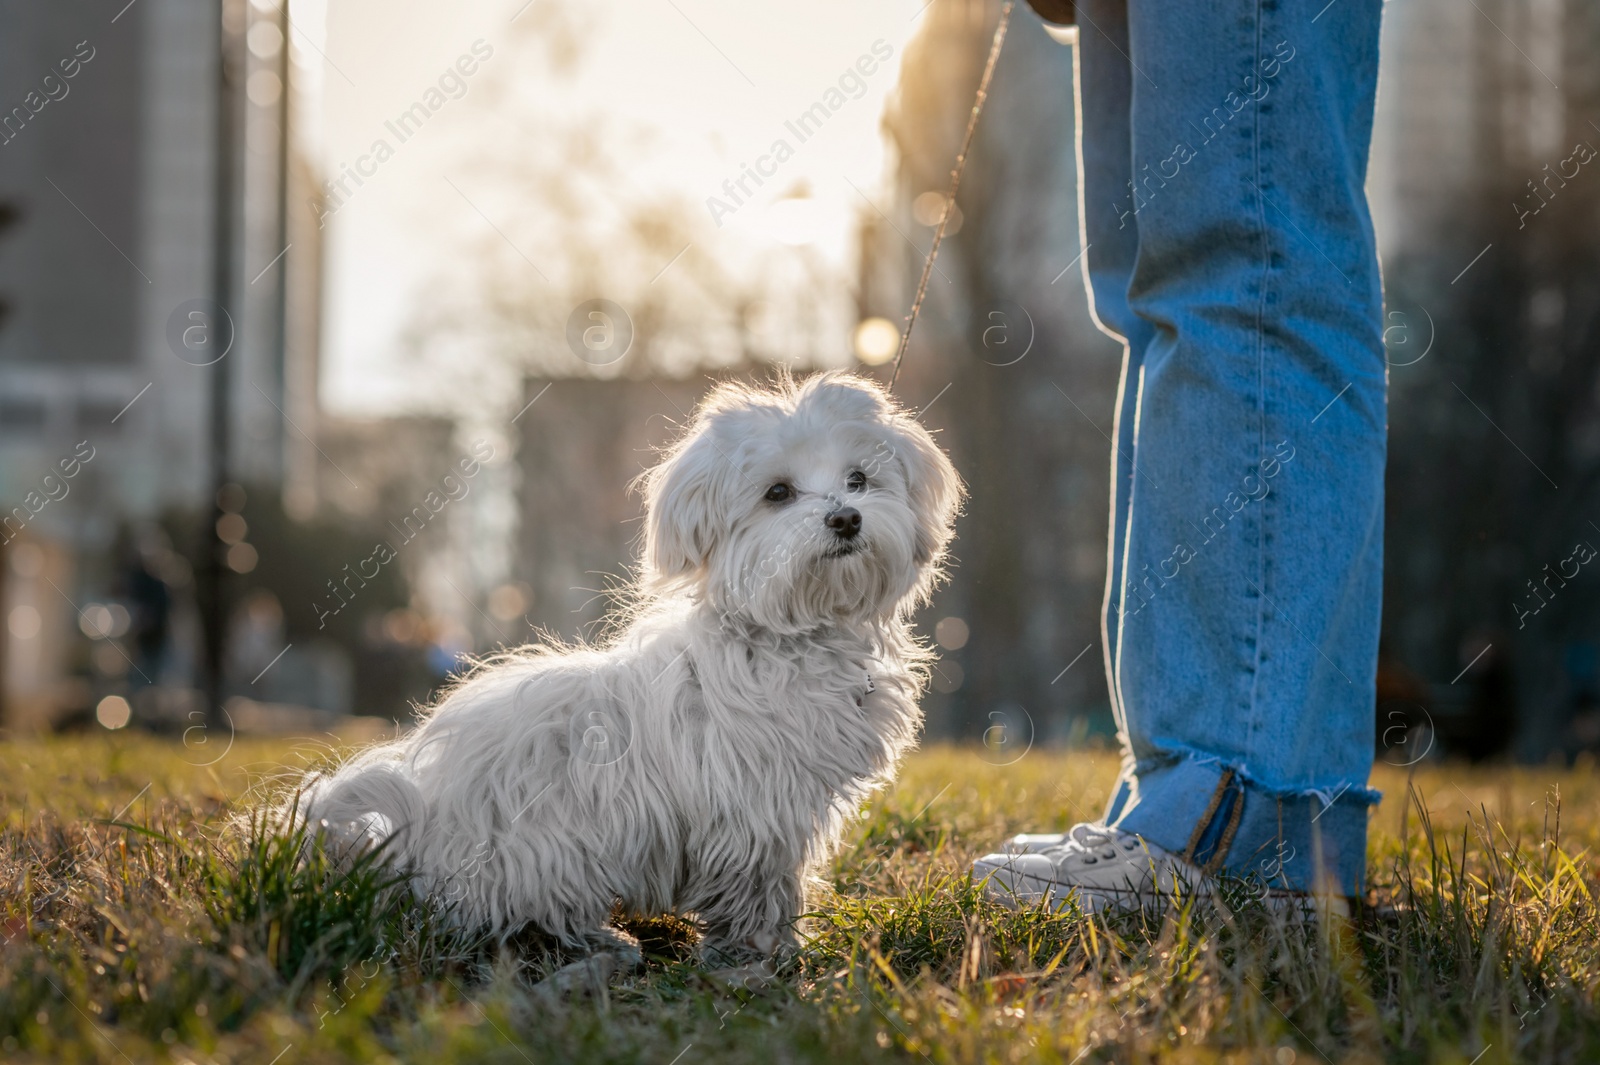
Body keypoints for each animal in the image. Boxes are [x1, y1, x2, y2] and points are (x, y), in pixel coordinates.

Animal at [292, 372, 953, 972]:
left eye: (859, 479)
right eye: (779, 493)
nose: (846, 518)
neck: (793, 632)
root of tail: (421, 841)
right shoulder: (753, 813)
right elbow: (761, 887)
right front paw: (764, 956)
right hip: (550, 854)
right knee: (523, 922)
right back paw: (603, 944)